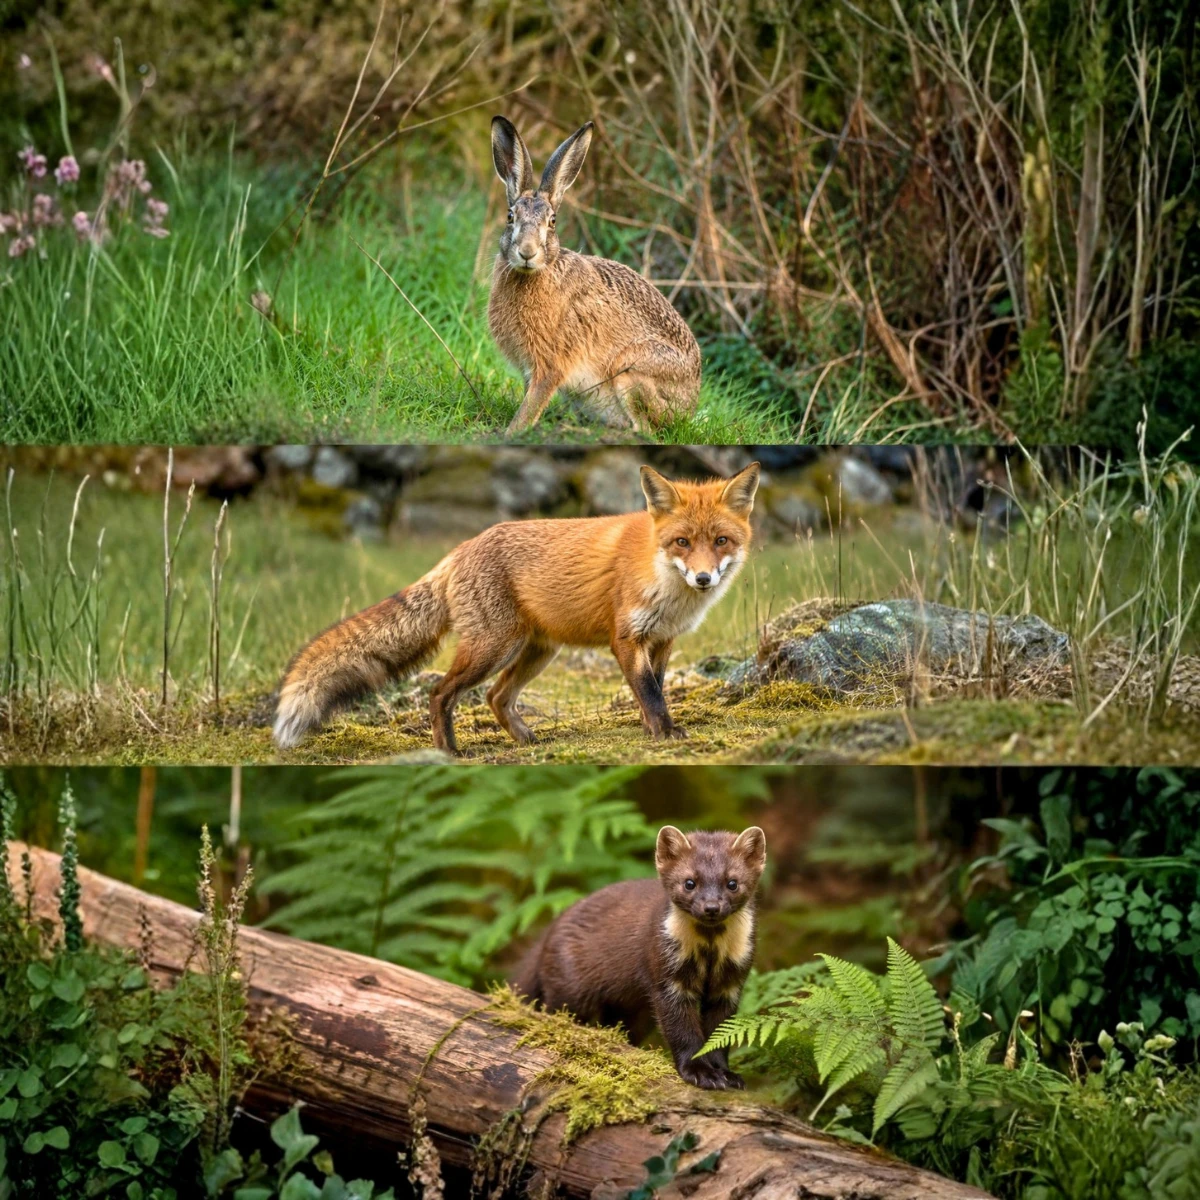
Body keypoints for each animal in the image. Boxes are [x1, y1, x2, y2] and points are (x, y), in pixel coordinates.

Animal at [273, 461, 760, 754]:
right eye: (682, 542)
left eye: (721, 541)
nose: (703, 578)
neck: (664, 582)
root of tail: (459, 549)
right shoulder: (626, 639)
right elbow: (650, 693)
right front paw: (665, 734)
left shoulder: (661, 641)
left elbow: (651, 690)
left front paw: (652, 731)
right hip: (493, 648)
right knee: (441, 693)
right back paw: (449, 750)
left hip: (536, 652)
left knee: (495, 696)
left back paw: (525, 738)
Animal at [488, 116, 701, 435]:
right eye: (510, 217)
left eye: (552, 222)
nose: (527, 252)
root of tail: (690, 406)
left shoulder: (551, 365)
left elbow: (532, 405)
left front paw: (513, 432)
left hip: (630, 371)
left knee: (646, 429)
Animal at [512, 825, 768, 1089]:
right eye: (689, 882)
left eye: (732, 883)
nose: (711, 907)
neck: (709, 950)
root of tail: (552, 928)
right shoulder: (667, 976)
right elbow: (681, 1031)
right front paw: (701, 1073)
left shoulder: (730, 983)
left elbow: (720, 1033)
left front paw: (727, 1074)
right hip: (569, 987)